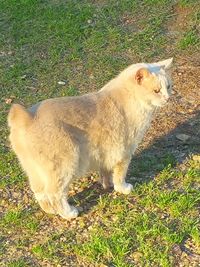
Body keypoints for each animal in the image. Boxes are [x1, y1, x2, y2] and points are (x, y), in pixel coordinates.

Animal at [8, 58, 173, 220]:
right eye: (156, 91)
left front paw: (107, 185)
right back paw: (69, 213)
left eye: (168, 87)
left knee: (39, 191)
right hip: (64, 166)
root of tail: (27, 117)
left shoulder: (106, 152)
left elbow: (106, 172)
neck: (130, 99)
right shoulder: (124, 153)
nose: (168, 98)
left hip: (34, 170)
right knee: (55, 194)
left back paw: (51, 211)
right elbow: (120, 175)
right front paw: (123, 188)